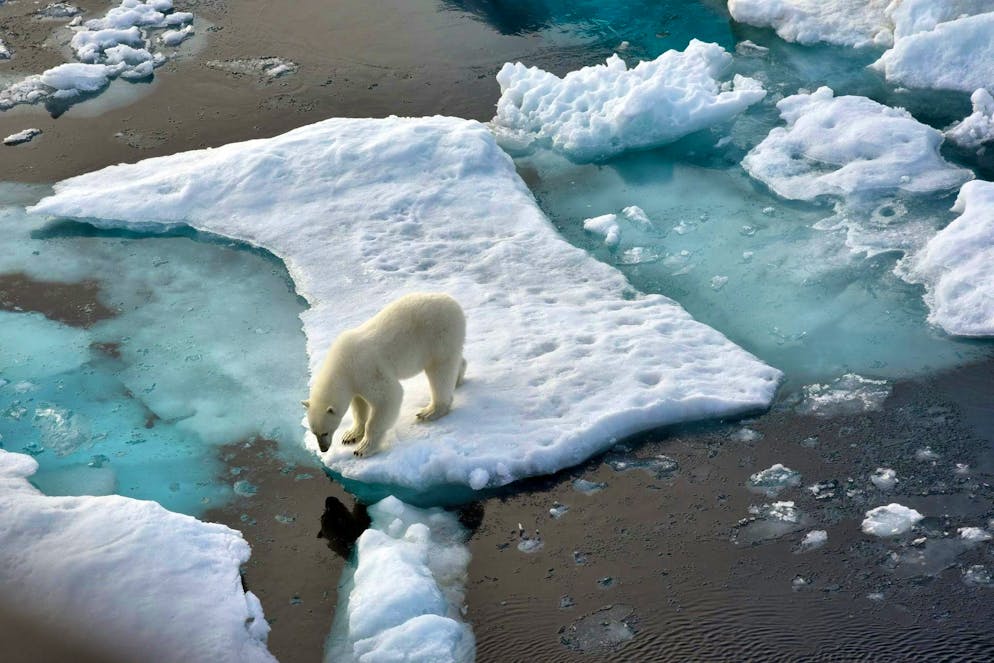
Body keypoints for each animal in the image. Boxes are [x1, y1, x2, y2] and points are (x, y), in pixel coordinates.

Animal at [303, 292, 467, 457]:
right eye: (314, 432)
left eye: (325, 432)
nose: (323, 449)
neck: (342, 365)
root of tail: (453, 302)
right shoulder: (355, 381)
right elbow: (359, 405)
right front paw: (350, 435)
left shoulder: (367, 370)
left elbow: (388, 397)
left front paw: (363, 448)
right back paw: (458, 378)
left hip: (439, 335)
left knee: (440, 371)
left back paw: (430, 411)